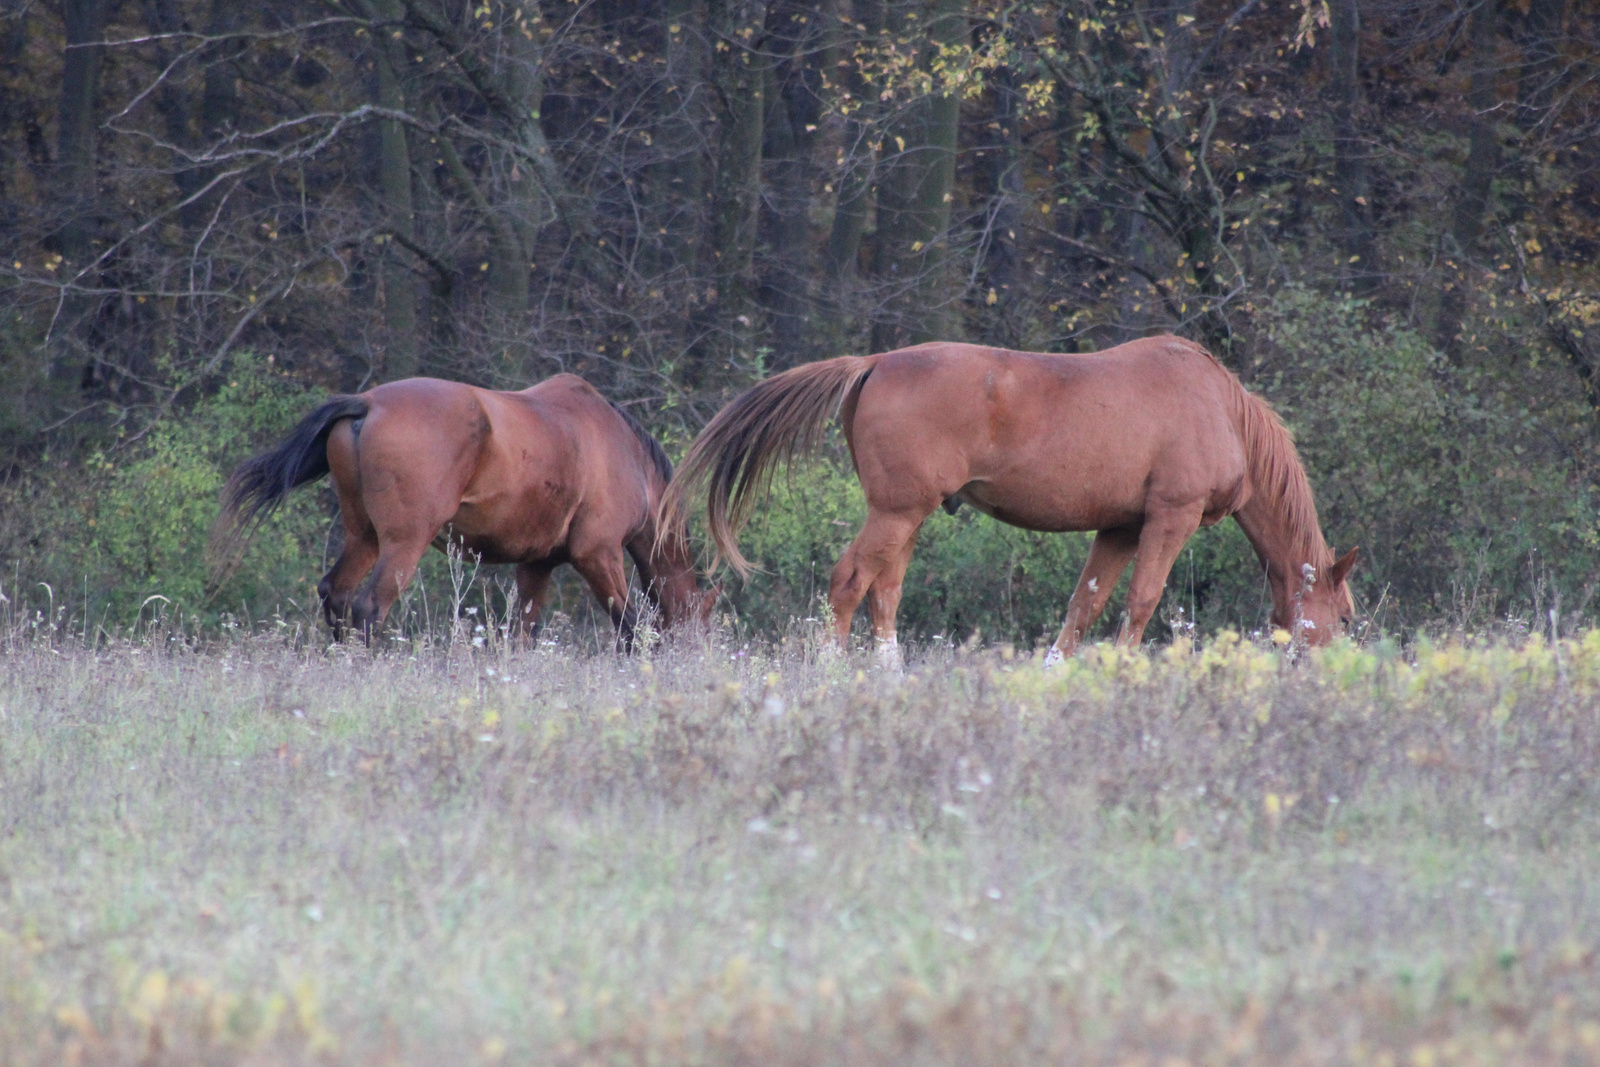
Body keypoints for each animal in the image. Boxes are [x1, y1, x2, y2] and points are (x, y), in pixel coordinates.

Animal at [212, 375, 713, 643]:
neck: (626, 455)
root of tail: (367, 402)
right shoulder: (598, 554)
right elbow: (631, 628)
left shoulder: (536, 566)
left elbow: (521, 634)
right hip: (403, 544)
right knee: (369, 607)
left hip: (364, 538)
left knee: (335, 594)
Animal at [662, 337, 1350, 662]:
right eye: (1343, 617)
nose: (1330, 673)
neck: (1220, 410)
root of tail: (876, 361)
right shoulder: (1168, 519)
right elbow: (1142, 603)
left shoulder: (1121, 527)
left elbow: (1084, 606)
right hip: (896, 512)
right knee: (851, 582)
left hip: (908, 518)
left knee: (886, 592)